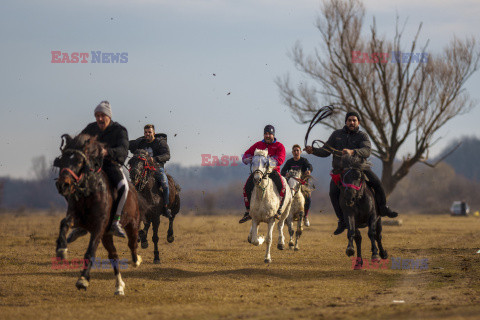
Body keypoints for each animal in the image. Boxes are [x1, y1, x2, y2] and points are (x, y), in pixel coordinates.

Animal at [54, 133, 142, 296]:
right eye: (62, 160)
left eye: (79, 161)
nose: (63, 185)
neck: (89, 191)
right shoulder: (77, 218)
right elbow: (64, 223)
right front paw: (61, 249)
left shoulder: (98, 228)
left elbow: (90, 252)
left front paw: (83, 280)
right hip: (107, 236)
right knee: (114, 256)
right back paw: (119, 286)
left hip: (131, 225)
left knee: (132, 245)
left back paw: (136, 260)